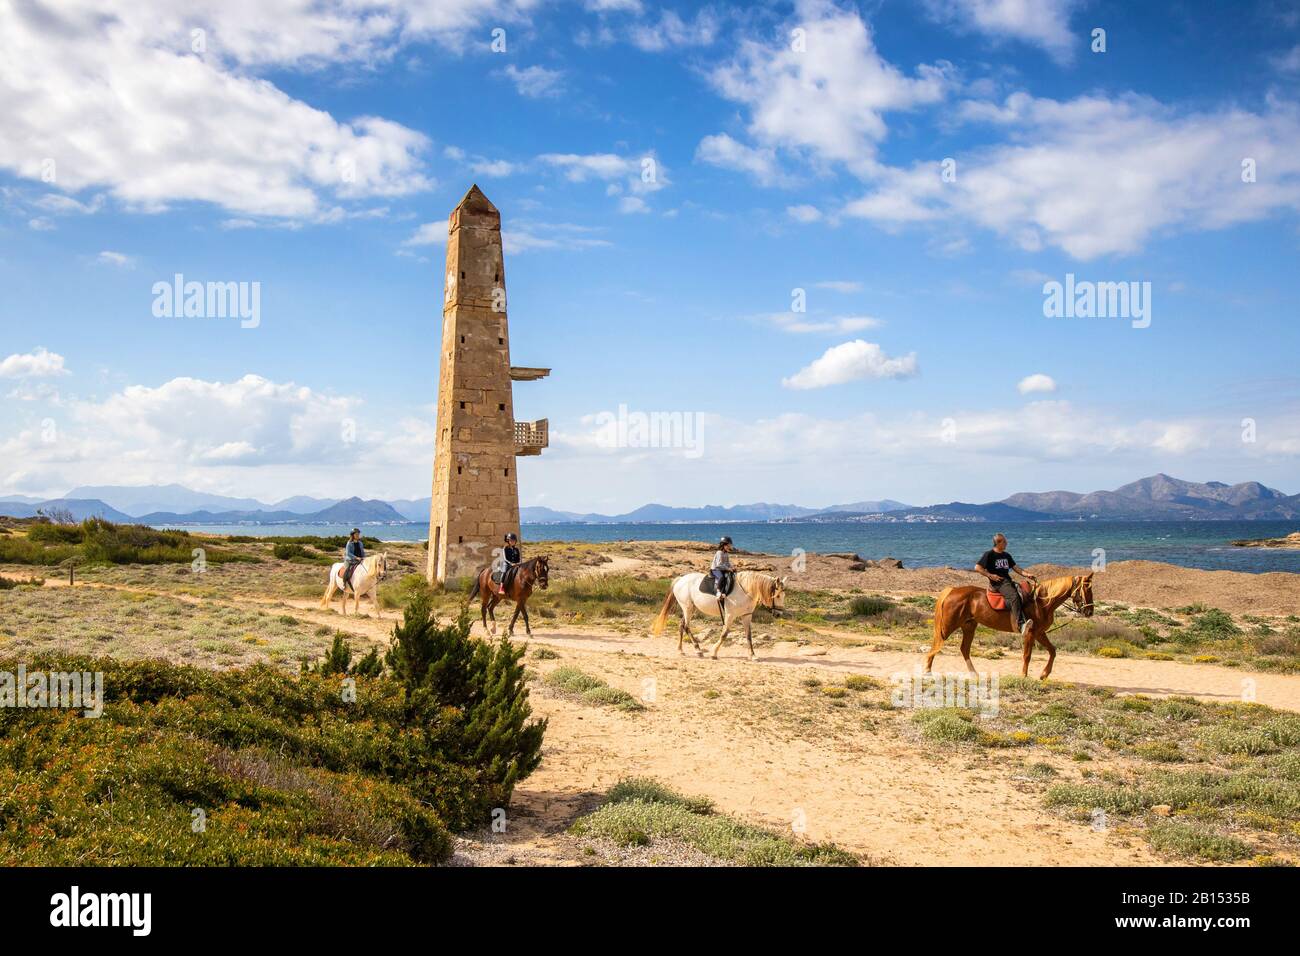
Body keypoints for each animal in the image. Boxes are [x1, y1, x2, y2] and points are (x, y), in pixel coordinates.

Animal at [647, 572, 780, 660]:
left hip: (690, 609)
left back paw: (681, 650)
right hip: (687, 608)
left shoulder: (746, 616)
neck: (745, 591)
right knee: (686, 626)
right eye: (778, 595)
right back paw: (698, 650)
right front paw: (714, 653)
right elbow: (724, 634)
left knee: (681, 625)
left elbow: (749, 636)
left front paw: (753, 655)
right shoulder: (730, 615)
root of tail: (680, 580)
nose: (778, 614)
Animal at [925, 567, 1097, 681]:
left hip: (969, 626)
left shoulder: (1039, 633)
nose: (1090, 611)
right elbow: (1027, 655)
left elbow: (1053, 651)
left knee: (964, 649)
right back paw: (927, 671)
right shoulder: (1030, 633)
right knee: (936, 645)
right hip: (948, 626)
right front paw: (1024, 676)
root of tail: (952, 590)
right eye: (1087, 589)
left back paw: (974, 674)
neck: (1042, 603)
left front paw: (1044, 674)